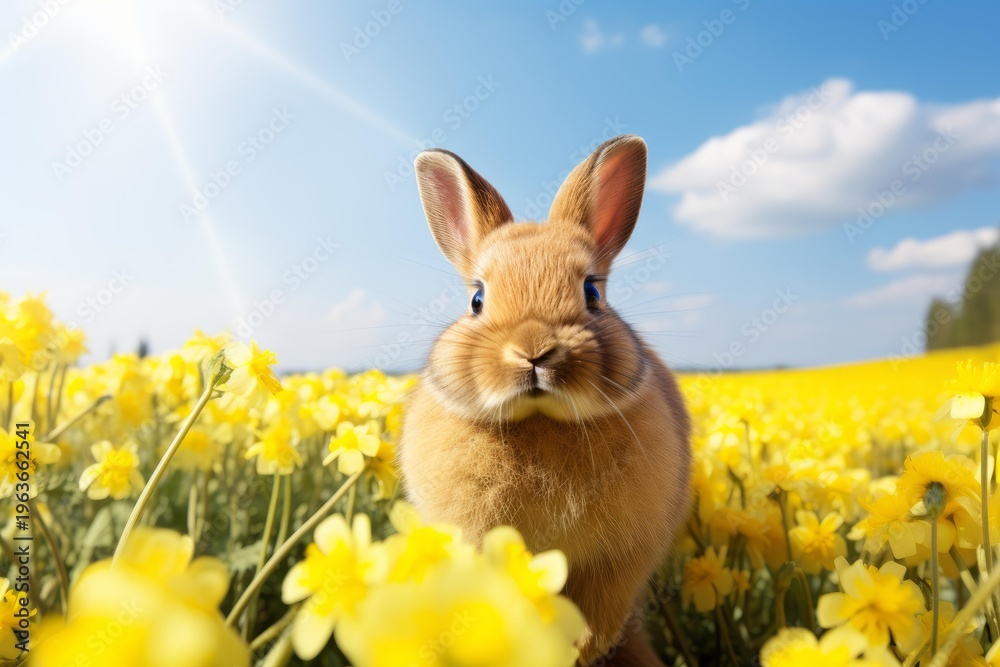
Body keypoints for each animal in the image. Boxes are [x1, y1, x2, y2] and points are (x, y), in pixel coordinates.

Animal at [399, 134, 692, 666]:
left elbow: (599, 613)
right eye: (476, 300)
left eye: (592, 293)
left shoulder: (616, 564)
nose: (534, 350)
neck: (539, 420)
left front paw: (578, 650)